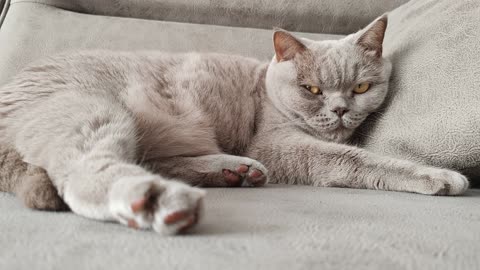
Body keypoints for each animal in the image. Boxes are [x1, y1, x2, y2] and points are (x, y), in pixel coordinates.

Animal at [0, 14, 468, 234]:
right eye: (312, 89)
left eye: (362, 87)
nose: (338, 110)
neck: (266, 88)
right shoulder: (278, 145)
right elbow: (355, 158)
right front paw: (439, 175)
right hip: (93, 111)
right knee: (87, 173)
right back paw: (159, 200)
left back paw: (233, 172)